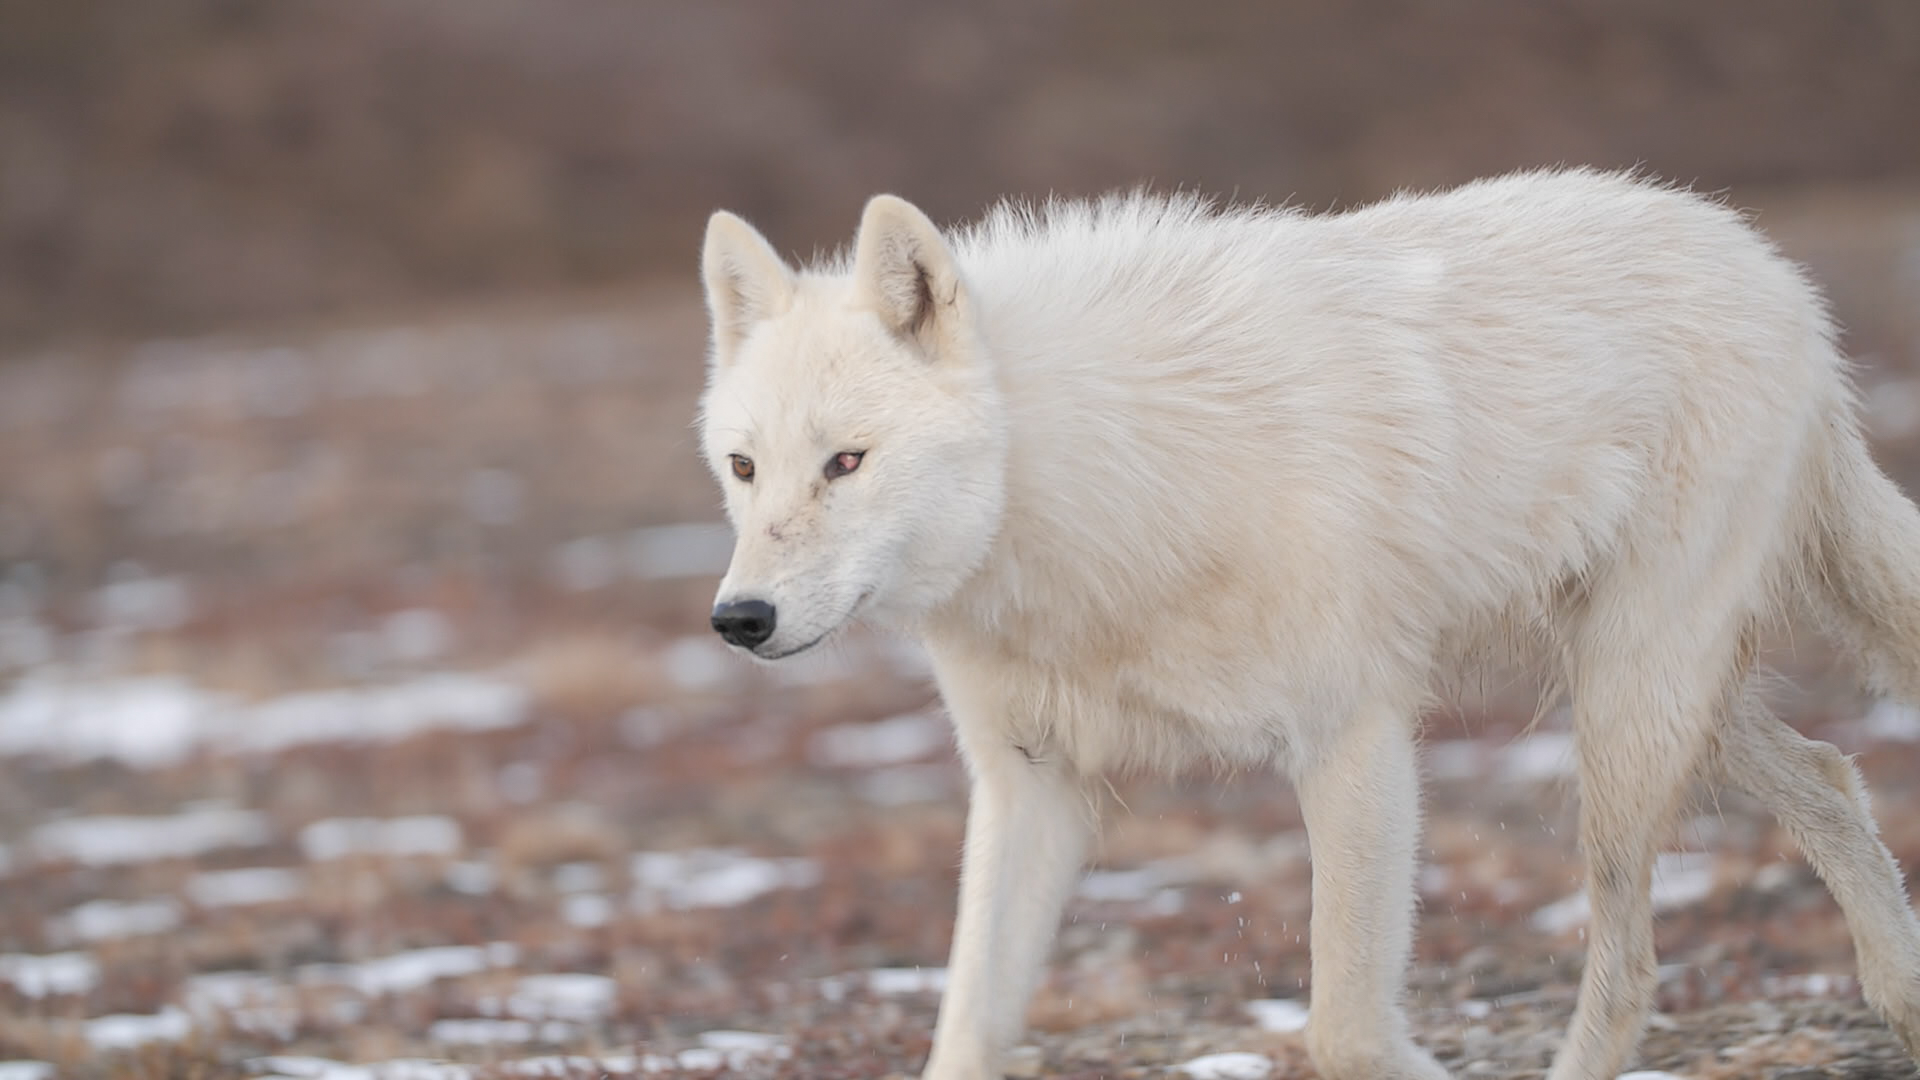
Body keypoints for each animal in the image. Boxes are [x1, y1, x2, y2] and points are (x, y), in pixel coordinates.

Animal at [693, 168, 1920, 1080]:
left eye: (847, 462)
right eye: (745, 468)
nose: (738, 619)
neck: (1094, 486)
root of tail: (1770, 266)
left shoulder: (1355, 745)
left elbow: (1345, 1031)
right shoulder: (1031, 786)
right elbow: (965, 1032)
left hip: (1625, 718)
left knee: (1629, 969)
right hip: (1646, 698)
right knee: (1828, 773)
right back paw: (1901, 995)